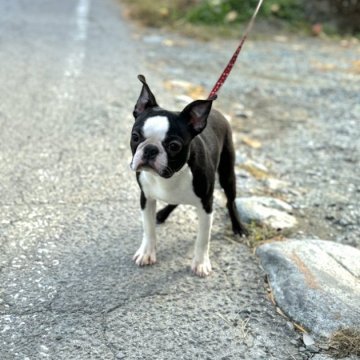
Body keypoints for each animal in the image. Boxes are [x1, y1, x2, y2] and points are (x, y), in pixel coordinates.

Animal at [130, 75, 248, 278]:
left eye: (174, 146)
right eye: (135, 136)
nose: (150, 149)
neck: (169, 176)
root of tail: (216, 111)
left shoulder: (206, 205)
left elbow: (203, 239)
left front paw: (200, 263)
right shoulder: (146, 197)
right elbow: (148, 228)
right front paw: (147, 252)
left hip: (227, 173)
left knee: (230, 200)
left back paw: (238, 227)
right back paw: (162, 213)